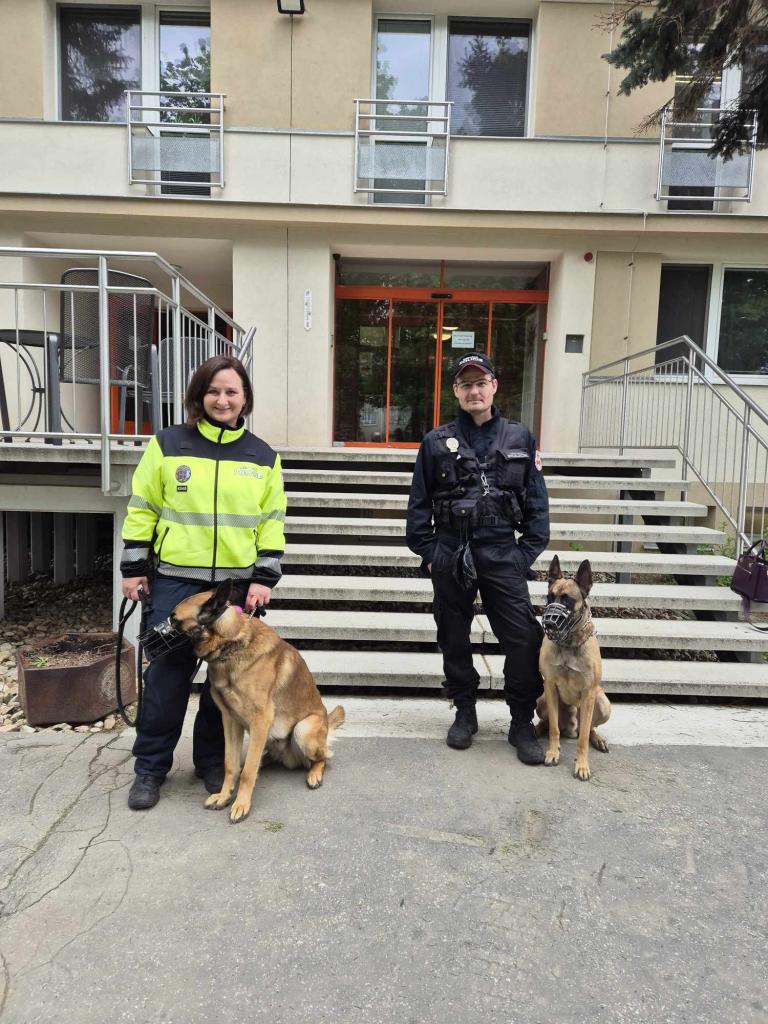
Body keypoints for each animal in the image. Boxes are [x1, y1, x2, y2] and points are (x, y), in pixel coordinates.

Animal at [171, 580, 345, 823]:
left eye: (174, 619)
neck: (231, 643)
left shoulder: (260, 720)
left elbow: (247, 774)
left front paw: (241, 804)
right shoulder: (230, 720)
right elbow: (231, 765)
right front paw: (224, 796)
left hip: (303, 729)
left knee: (322, 758)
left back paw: (314, 774)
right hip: (268, 738)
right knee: (259, 758)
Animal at [536, 555, 611, 781]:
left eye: (567, 599)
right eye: (549, 597)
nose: (549, 624)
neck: (568, 644)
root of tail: (571, 729)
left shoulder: (589, 693)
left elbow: (583, 738)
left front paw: (582, 765)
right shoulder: (550, 686)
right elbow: (553, 728)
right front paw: (552, 752)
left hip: (602, 703)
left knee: (588, 729)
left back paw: (598, 739)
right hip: (541, 700)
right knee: (550, 724)